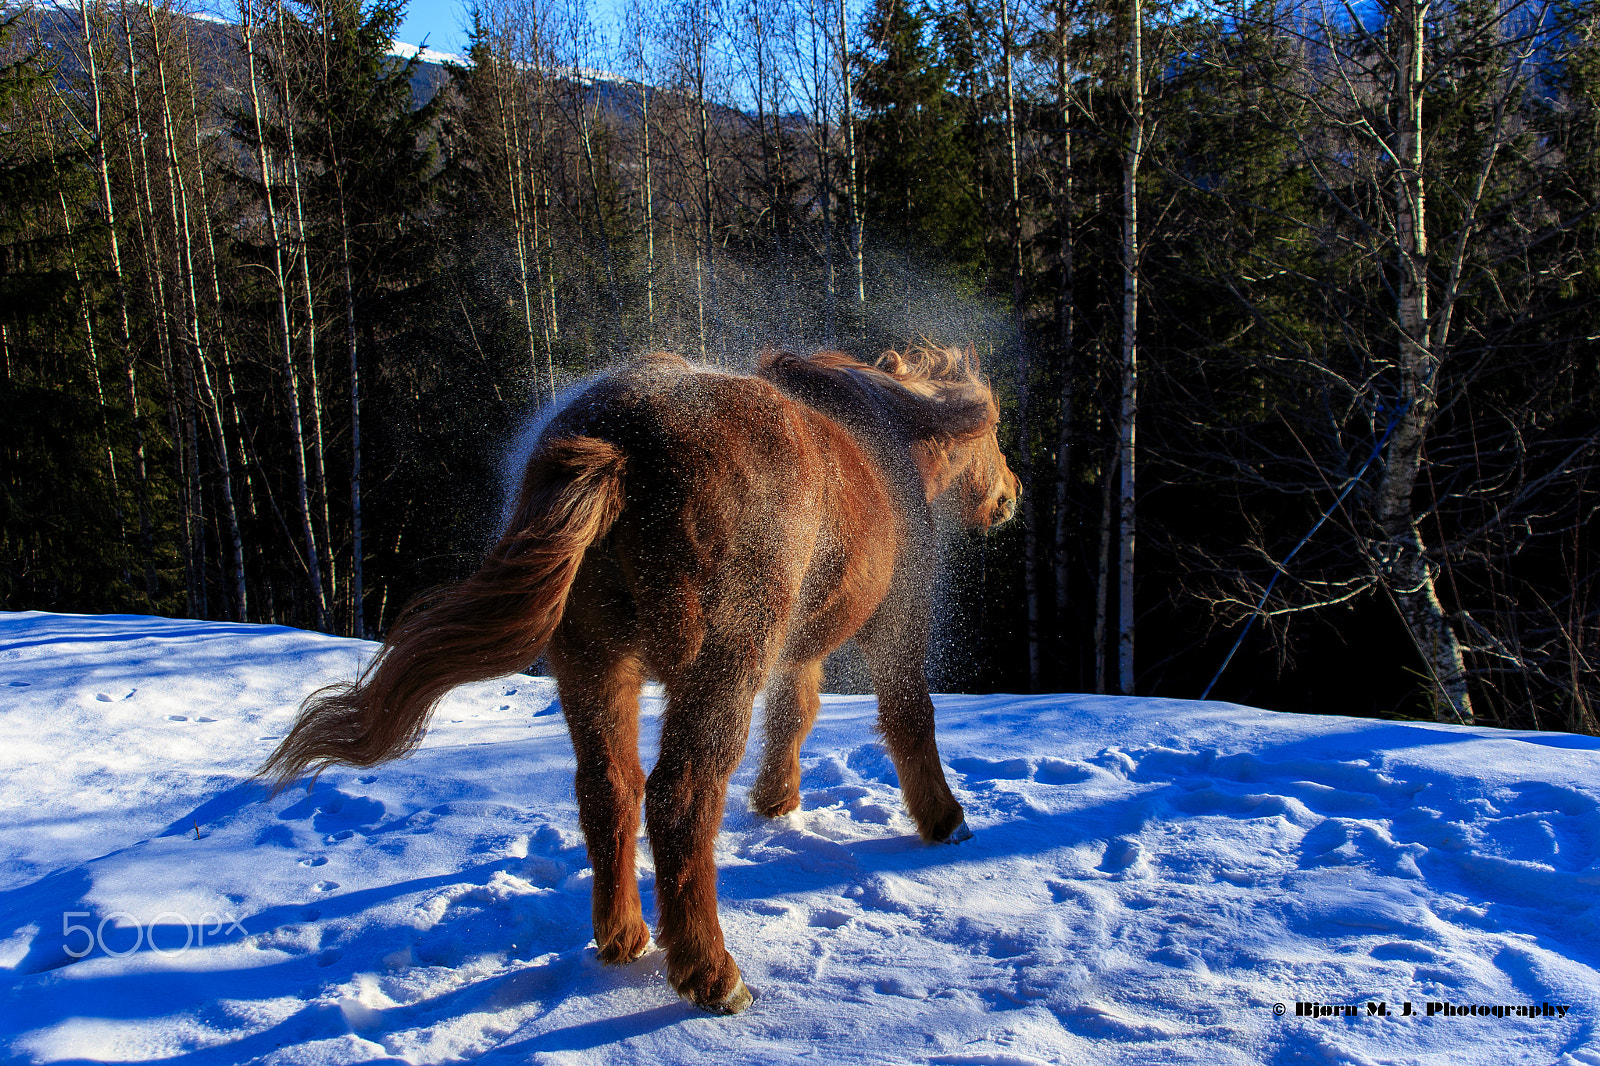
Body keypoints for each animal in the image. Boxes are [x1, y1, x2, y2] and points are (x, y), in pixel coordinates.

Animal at [257, 344, 1020, 1015]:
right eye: (994, 435)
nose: (1010, 495)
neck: (888, 433)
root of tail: (620, 444)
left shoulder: (796, 650)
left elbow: (795, 714)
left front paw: (777, 801)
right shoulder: (896, 624)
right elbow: (909, 715)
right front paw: (944, 818)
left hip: (595, 669)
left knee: (608, 789)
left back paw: (622, 936)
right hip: (716, 670)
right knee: (679, 801)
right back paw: (711, 974)